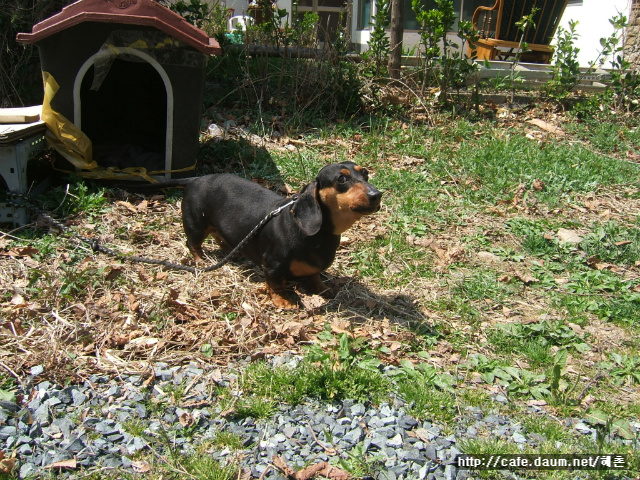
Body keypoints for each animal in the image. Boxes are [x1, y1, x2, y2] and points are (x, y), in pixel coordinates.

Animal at [180, 161, 380, 308]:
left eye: (365, 173)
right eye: (341, 178)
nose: (377, 194)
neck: (318, 236)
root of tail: (195, 179)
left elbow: (314, 275)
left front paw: (321, 288)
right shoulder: (273, 265)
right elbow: (276, 284)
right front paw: (282, 300)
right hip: (196, 225)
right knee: (192, 244)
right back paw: (200, 260)